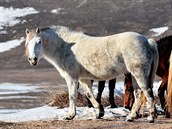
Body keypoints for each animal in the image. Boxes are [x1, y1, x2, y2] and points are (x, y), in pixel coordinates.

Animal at [25, 26, 159, 122]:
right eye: (27, 43)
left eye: (39, 41)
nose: (32, 59)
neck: (66, 47)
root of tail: (147, 41)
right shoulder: (83, 79)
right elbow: (89, 94)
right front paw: (99, 112)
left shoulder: (71, 78)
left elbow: (72, 96)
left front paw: (70, 116)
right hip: (134, 75)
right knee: (138, 93)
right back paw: (131, 117)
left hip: (139, 73)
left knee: (147, 92)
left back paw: (151, 117)